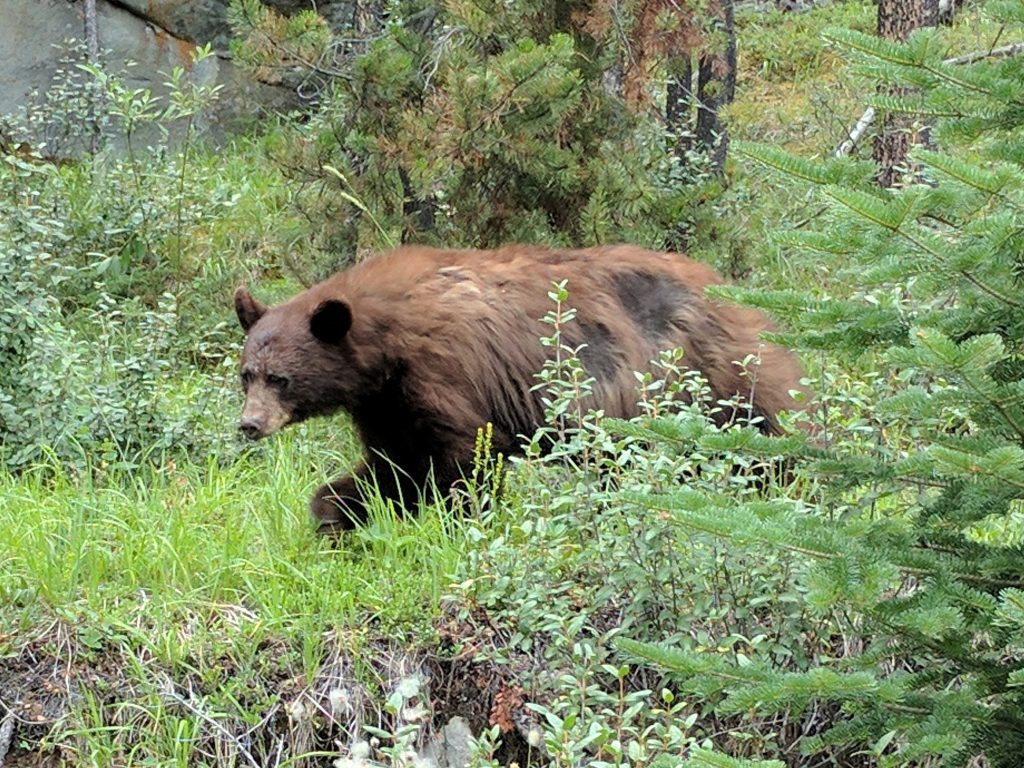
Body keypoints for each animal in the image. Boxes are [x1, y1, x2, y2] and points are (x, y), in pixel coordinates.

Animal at [234, 246, 806, 536]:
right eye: (246, 373)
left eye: (279, 378)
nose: (249, 424)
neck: (386, 339)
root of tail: (733, 293)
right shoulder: (385, 402)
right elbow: (394, 466)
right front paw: (334, 511)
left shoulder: (445, 371)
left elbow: (465, 460)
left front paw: (461, 525)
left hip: (708, 378)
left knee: (766, 433)